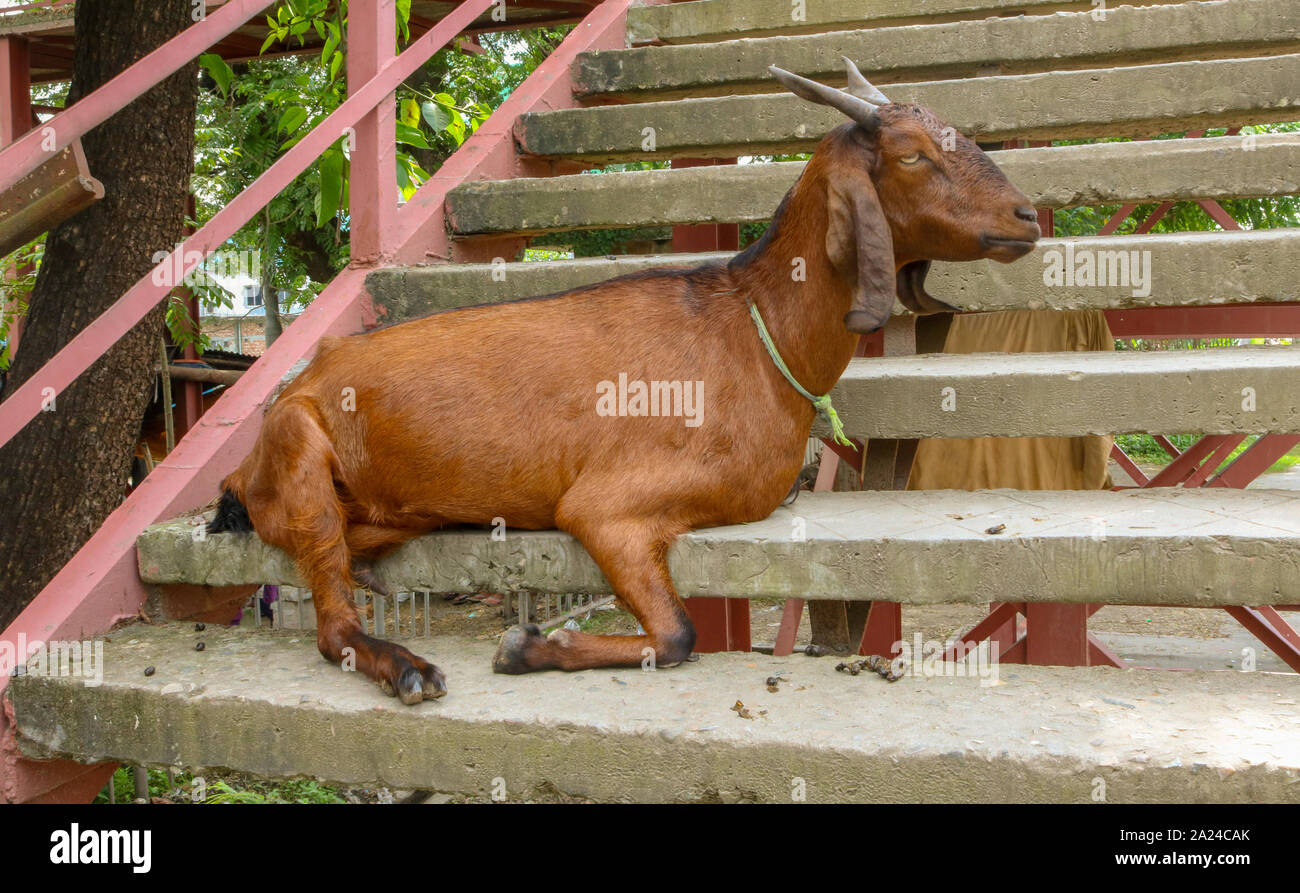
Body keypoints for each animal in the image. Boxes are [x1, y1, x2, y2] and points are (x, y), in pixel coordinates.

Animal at [208, 63, 1040, 707]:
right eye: (911, 155)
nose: (1029, 214)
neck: (754, 330)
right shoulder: (608, 508)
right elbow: (676, 635)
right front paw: (524, 646)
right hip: (301, 459)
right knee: (331, 627)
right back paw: (408, 667)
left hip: (385, 513)